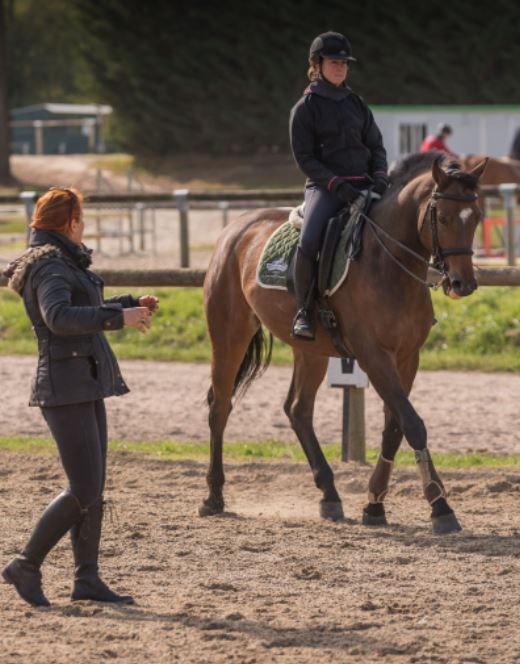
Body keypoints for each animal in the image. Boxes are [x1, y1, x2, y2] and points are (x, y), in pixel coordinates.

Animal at [201, 154, 486, 536]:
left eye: (477, 217)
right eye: (442, 218)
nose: (462, 283)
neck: (388, 264)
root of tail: (235, 228)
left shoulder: (407, 357)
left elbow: (394, 427)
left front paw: (374, 504)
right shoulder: (373, 356)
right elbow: (413, 424)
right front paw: (440, 507)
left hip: (309, 351)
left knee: (297, 410)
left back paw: (329, 494)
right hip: (229, 334)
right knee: (220, 407)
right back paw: (214, 496)